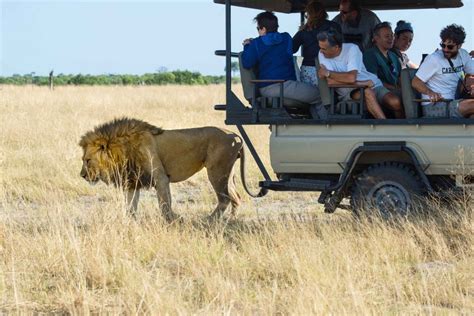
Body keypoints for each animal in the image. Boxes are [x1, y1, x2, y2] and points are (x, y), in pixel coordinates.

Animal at [78, 116, 266, 222]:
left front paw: (173, 220)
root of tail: (236, 136)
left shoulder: (160, 178)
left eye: (87, 160)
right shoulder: (133, 182)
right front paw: (129, 222)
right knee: (236, 197)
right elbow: (130, 207)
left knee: (225, 198)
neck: (121, 151)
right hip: (227, 174)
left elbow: (164, 204)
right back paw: (231, 220)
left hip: (216, 171)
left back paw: (210, 220)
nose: (82, 175)